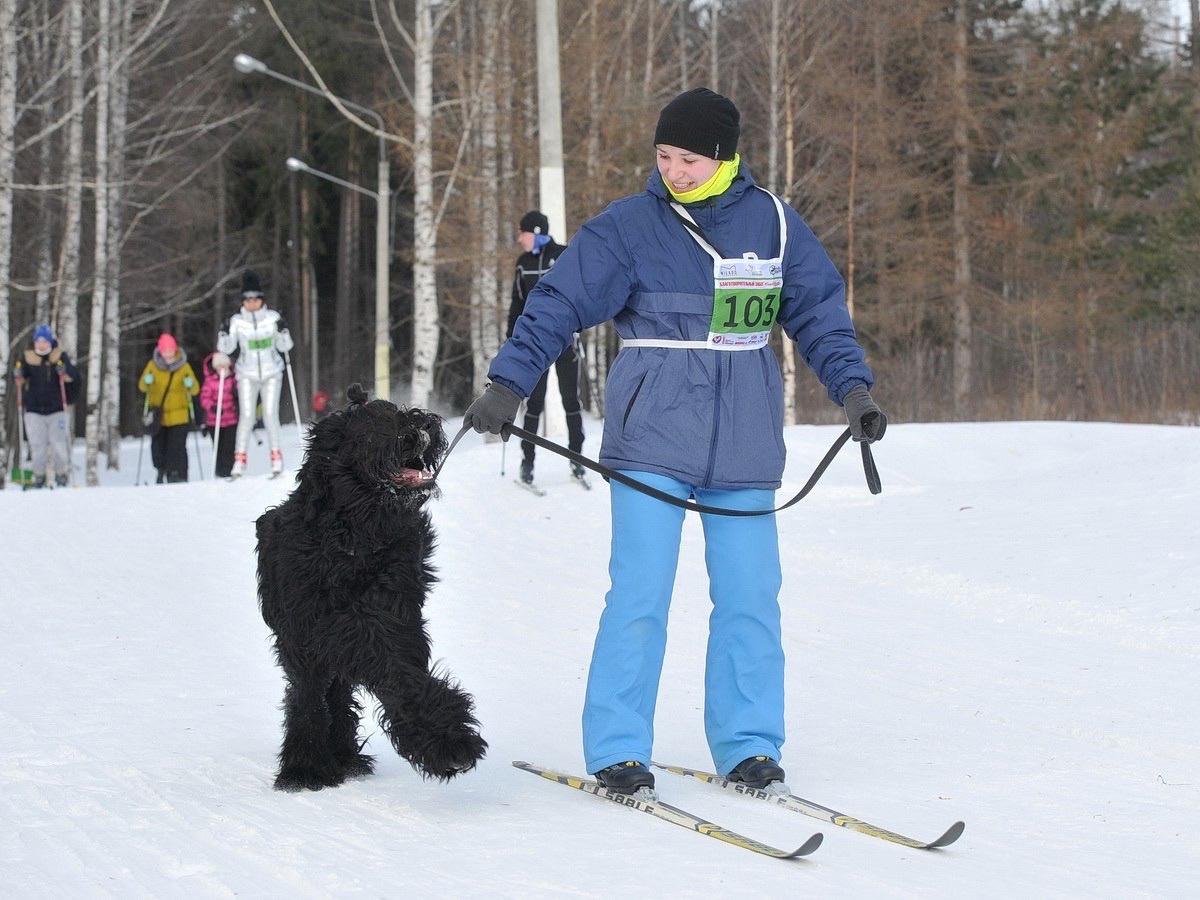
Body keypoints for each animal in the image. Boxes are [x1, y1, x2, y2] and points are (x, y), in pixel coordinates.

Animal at [256, 384, 487, 792]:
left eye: (395, 410)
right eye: (376, 423)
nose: (425, 423)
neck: (354, 535)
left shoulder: (393, 614)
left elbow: (399, 667)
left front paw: (448, 738)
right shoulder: (312, 628)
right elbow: (316, 689)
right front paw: (304, 769)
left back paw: (344, 757)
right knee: (311, 695)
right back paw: (311, 763)